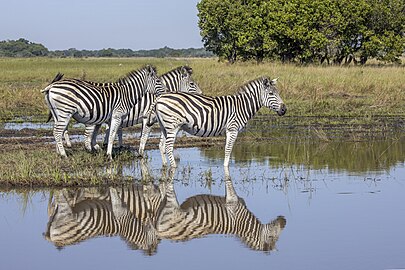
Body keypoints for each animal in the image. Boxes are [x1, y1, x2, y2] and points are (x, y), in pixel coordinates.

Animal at [150, 76, 286, 168]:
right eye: (271, 93)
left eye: (278, 93)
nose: (284, 110)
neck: (242, 106)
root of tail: (159, 98)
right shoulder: (233, 128)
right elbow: (228, 150)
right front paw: (226, 168)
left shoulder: (227, 130)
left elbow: (226, 149)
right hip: (172, 126)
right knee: (168, 147)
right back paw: (174, 167)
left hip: (164, 126)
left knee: (161, 145)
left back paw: (165, 166)